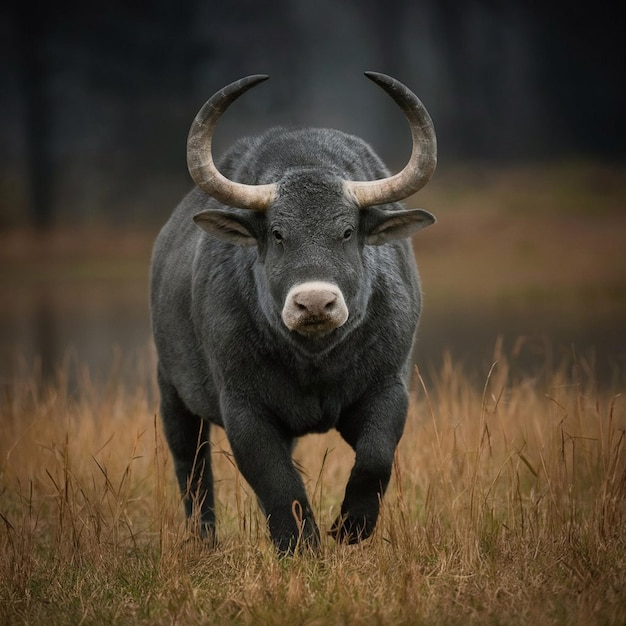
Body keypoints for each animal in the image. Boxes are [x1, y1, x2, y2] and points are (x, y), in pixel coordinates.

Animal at [150, 72, 434, 552]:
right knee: (191, 469)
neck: (313, 361)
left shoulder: (388, 387)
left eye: (346, 231)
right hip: (172, 392)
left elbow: (376, 458)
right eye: (279, 233)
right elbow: (277, 482)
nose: (315, 302)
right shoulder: (244, 410)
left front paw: (349, 528)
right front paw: (300, 545)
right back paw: (204, 540)